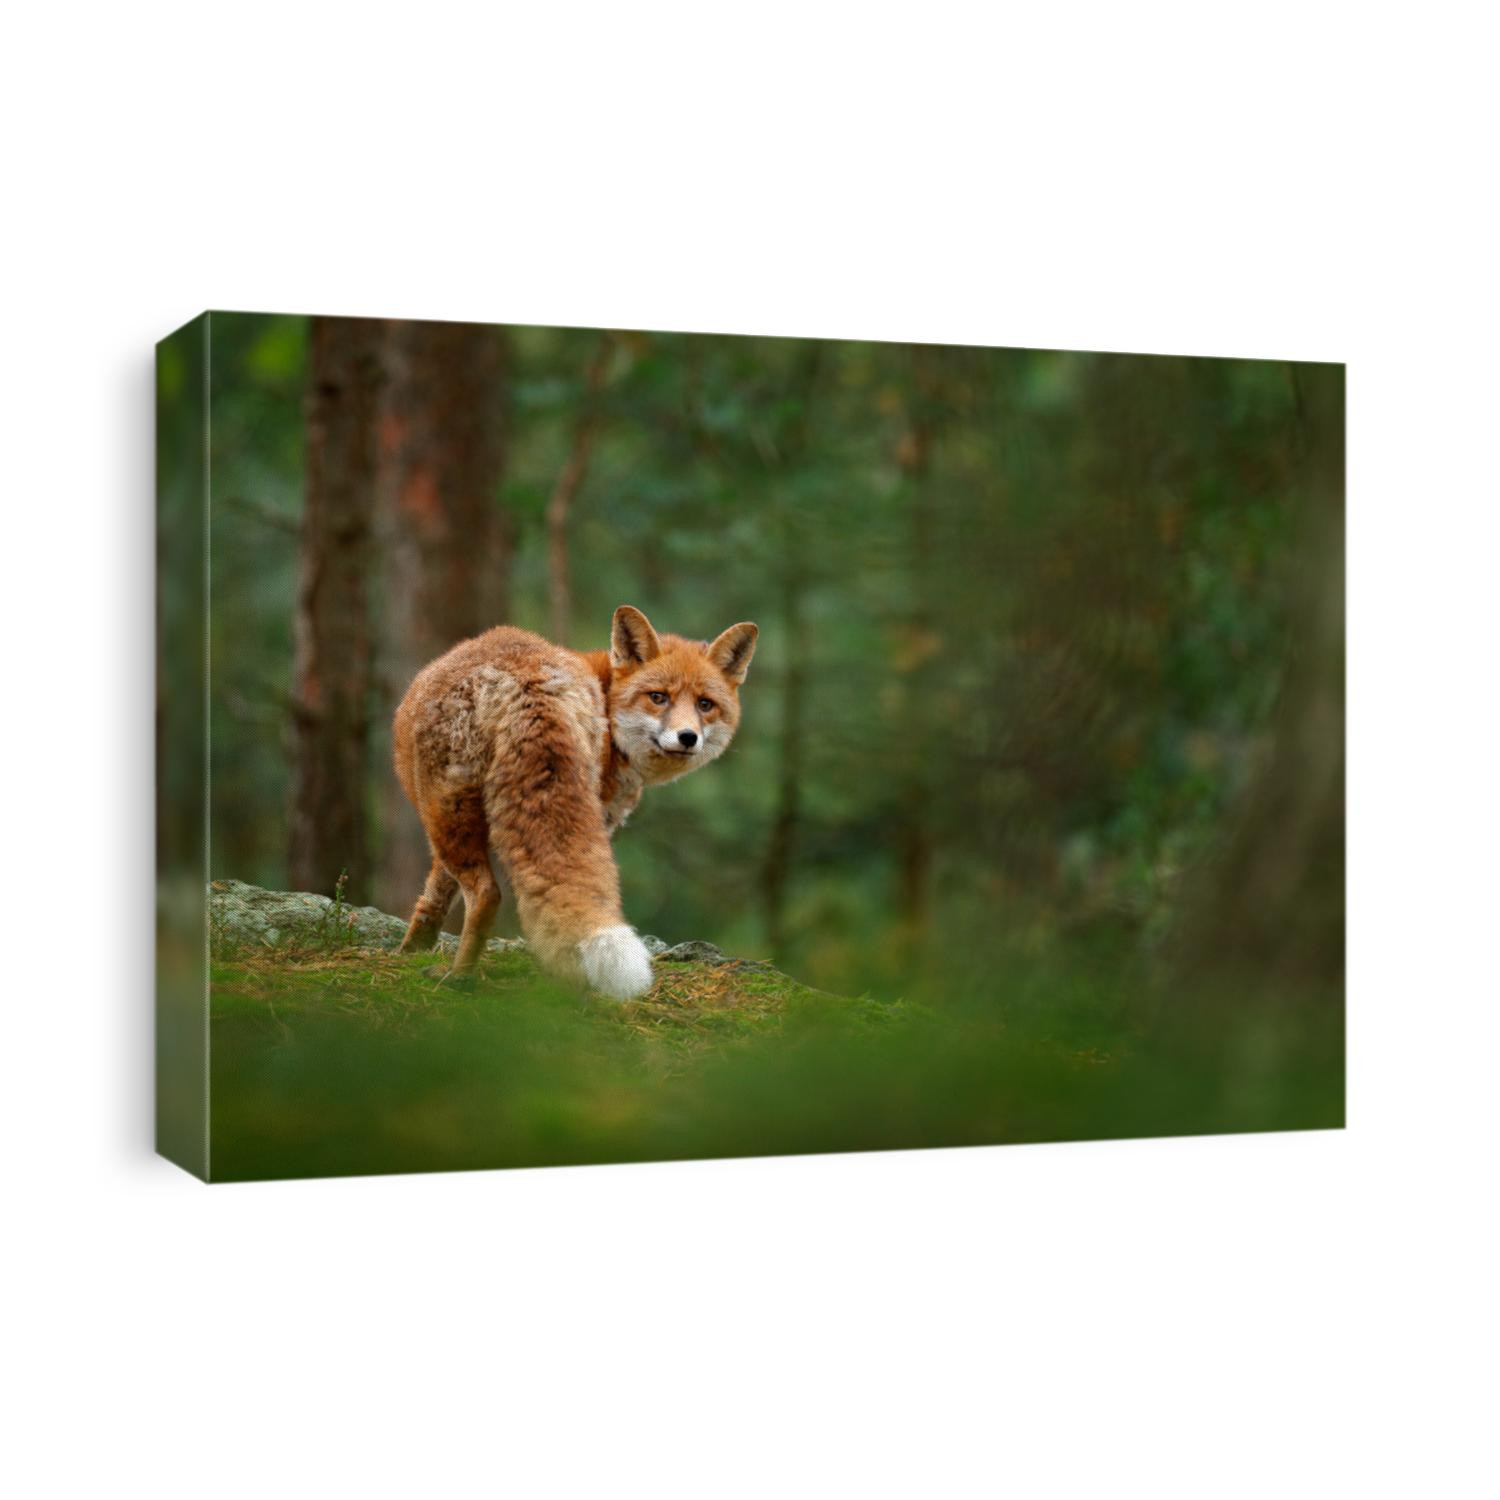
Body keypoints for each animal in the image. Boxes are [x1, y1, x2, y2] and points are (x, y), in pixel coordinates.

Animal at [392, 605, 758, 1000]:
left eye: (705, 705)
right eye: (658, 697)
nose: (687, 737)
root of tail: (528, 682)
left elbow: (435, 893)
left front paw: (411, 950)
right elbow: (437, 894)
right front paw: (412, 949)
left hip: (444, 812)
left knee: (486, 894)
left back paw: (459, 977)